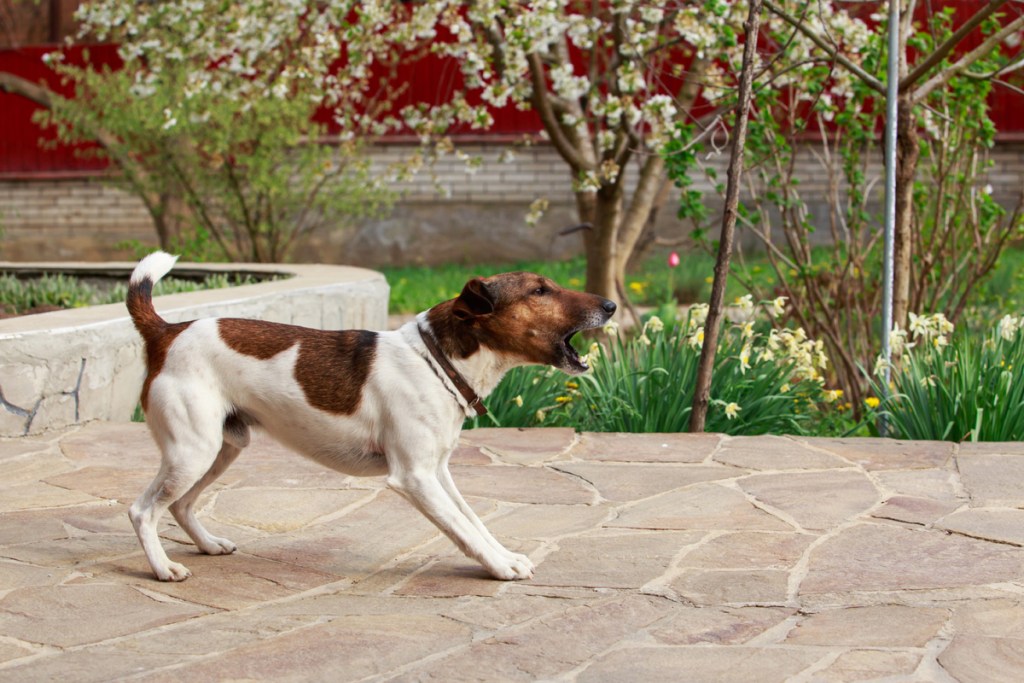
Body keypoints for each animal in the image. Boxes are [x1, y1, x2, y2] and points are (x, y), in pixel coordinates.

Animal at [123, 250, 610, 581]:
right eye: (540, 291)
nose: (610, 306)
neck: (437, 360)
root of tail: (167, 331)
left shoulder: (439, 472)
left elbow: (474, 521)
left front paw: (504, 556)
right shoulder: (414, 477)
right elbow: (463, 530)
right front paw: (499, 568)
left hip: (222, 449)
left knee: (180, 504)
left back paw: (207, 546)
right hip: (192, 452)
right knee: (142, 510)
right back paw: (163, 568)